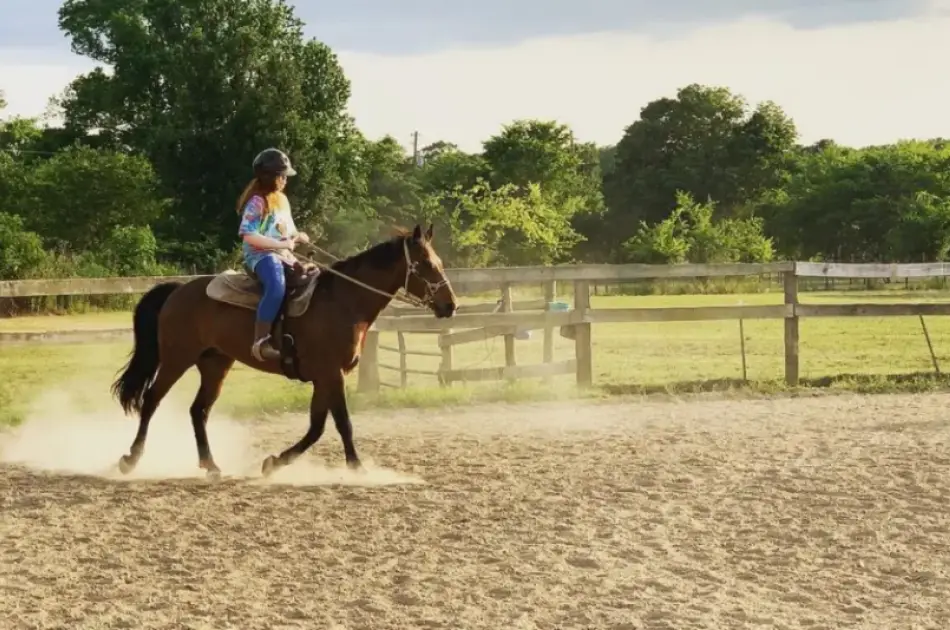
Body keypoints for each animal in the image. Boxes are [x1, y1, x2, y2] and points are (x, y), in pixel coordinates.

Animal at [109, 223, 460, 478]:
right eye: (425, 264)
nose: (450, 305)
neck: (343, 301)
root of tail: (178, 290)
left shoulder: (324, 378)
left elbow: (317, 427)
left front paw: (274, 463)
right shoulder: (332, 374)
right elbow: (342, 423)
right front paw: (358, 468)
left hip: (215, 363)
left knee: (199, 411)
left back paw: (211, 466)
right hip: (176, 359)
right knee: (151, 400)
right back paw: (130, 460)